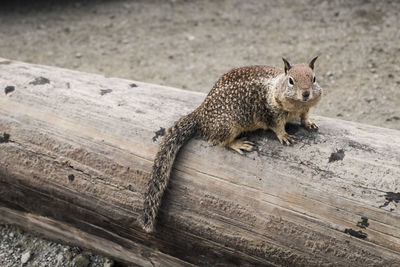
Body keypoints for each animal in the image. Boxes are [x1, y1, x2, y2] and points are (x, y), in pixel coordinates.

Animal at [141, 56, 322, 232]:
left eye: (314, 78)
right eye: (291, 80)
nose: (306, 93)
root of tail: (201, 114)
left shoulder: (305, 108)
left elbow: (305, 116)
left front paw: (309, 123)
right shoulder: (270, 113)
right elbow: (277, 127)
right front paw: (284, 135)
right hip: (228, 127)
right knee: (220, 141)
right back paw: (238, 144)